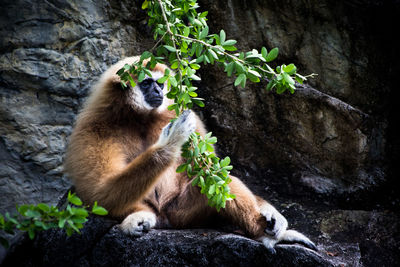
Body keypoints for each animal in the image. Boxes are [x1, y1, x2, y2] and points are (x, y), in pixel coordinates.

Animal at [64, 56, 318, 253]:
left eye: (160, 83)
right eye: (146, 83)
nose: (158, 90)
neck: (140, 118)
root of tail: (167, 220)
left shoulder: (190, 119)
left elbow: (212, 172)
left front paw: (269, 211)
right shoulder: (93, 128)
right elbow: (98, 191)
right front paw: (168, 144)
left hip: (183, 212)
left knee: (219, 183)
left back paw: (268, 233)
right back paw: (140, 216)